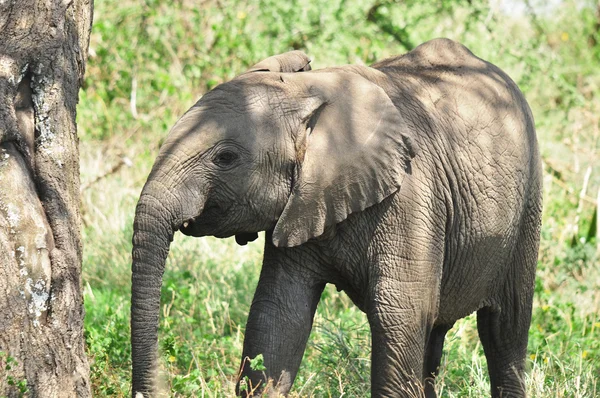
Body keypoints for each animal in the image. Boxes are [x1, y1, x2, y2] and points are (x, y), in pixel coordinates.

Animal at [131, 38, 544, 398]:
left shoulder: (410, 198)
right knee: (436, 335)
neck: (307, 92)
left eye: (225, 158)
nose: (155, 388)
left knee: (504, 328)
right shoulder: (301, 206)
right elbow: (278, 315)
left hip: (528, 203)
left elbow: (399, 315)